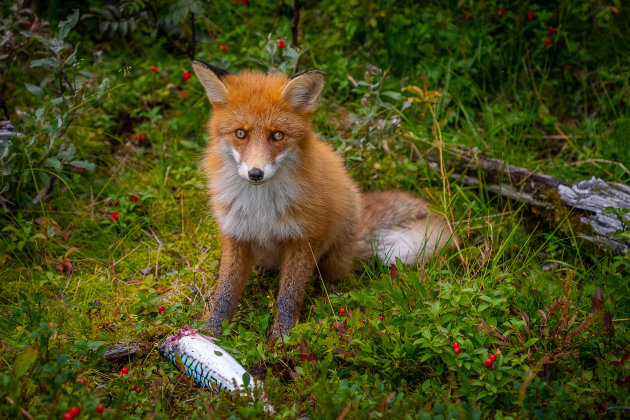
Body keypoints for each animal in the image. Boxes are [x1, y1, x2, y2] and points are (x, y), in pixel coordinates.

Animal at [193, 60, 460, 340]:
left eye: (277, 135)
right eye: (240, 133)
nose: (256, 173)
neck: (261, 208)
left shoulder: (304, 239)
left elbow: (289, 297)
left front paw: (283, 338)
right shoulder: (236, 234)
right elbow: (225, 292)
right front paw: (211, 330)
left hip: (331, 259)